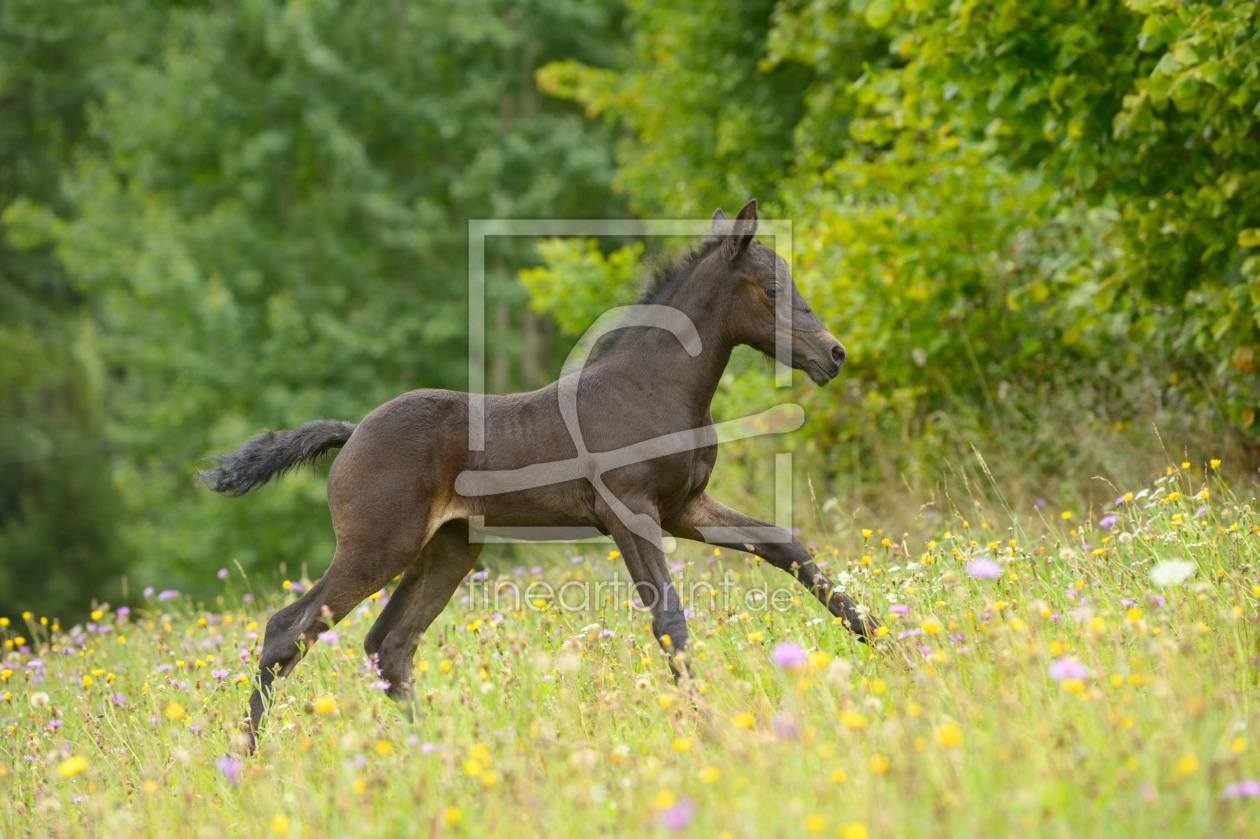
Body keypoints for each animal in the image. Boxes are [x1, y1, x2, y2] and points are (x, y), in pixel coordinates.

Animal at [201, 201, 882, 745]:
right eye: (772, 289)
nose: (835, 354)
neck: (651, 388)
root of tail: (353, 433)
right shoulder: (631, 513)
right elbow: (670, 621)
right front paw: (706, 723)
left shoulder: (685, 508)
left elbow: (784, 543)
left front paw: (880, 639)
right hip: (378, 545)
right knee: (287, 630)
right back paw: (248, 759)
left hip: (448, 548)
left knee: (388, 645)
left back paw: (430, 749)